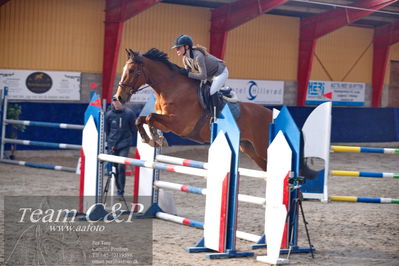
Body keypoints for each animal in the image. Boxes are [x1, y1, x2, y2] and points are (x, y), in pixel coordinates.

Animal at [114, 47, 274, 170]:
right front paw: (151, 139)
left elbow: (149, 117)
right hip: (250, 149)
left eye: (132, 70)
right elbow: (141, 119)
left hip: (262, 148)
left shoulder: (179, 124)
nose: (119, 97)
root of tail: (270, 114)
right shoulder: (167, 124)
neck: (171, 88)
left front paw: (156, 139)